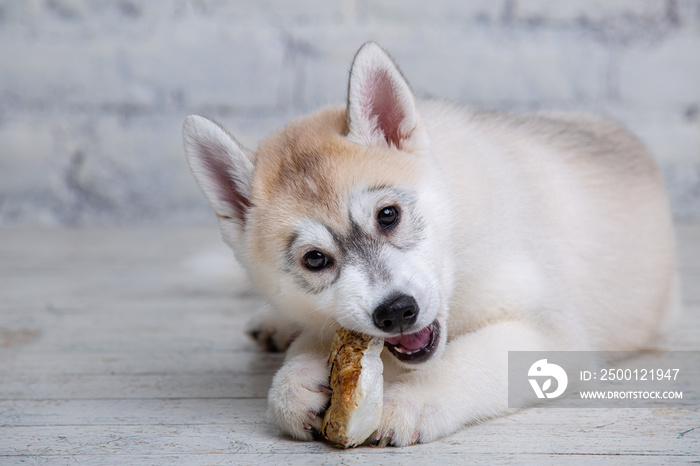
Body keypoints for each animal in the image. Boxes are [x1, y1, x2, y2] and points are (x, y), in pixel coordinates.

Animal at [182, 41, 680, 446]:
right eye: (315, 259)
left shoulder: (551, 329)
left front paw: (412, 402)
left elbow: (465, 361)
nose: (396, 312)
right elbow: (312, 342)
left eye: (388, 215)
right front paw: (296, 382)